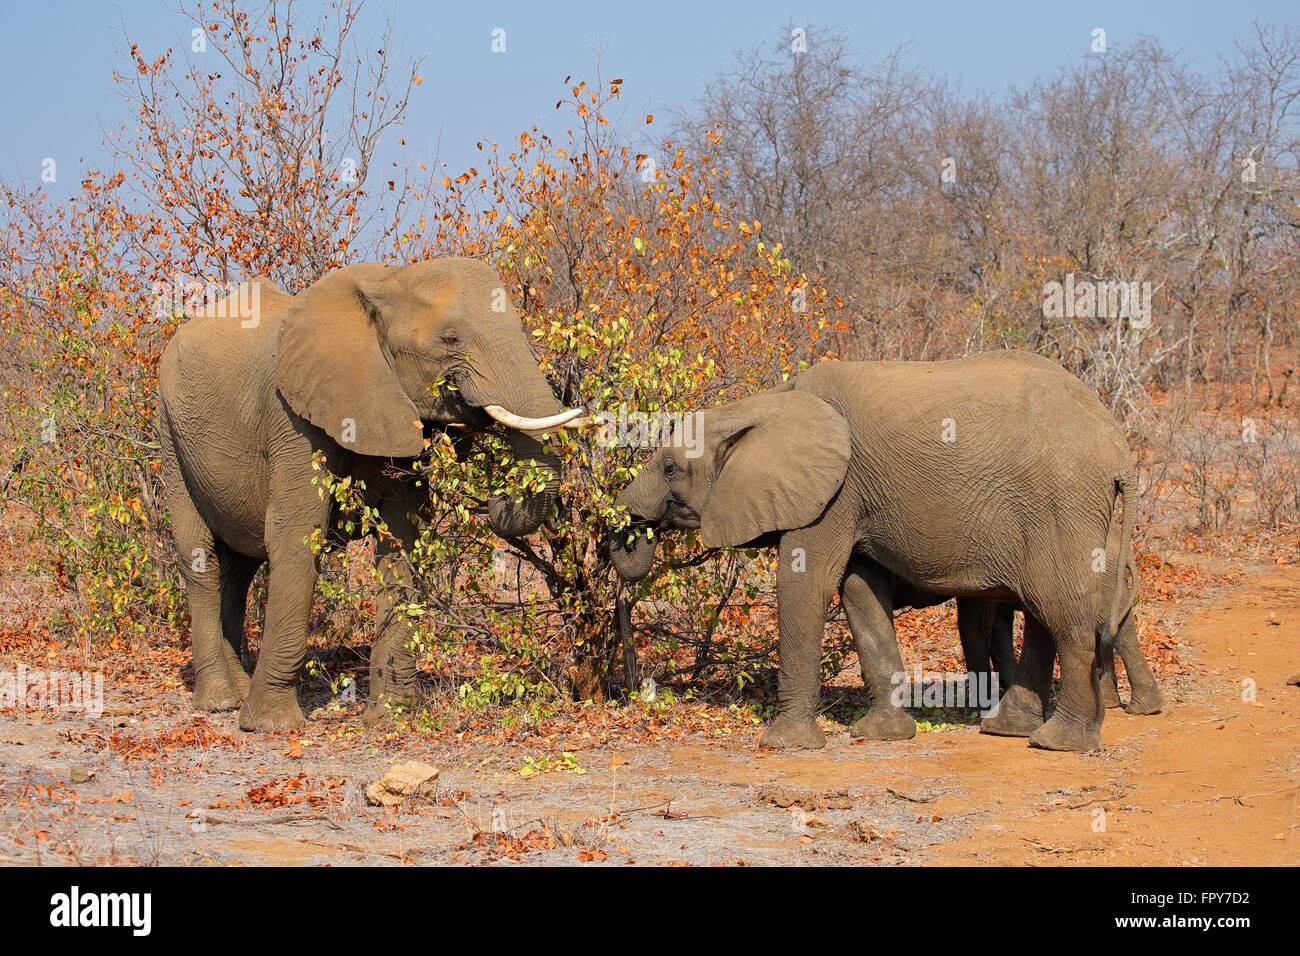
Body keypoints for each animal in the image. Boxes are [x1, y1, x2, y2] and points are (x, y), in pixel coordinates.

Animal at [161, 257, 585, 728]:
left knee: (239, 566)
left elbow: (401, 538)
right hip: (171, 433)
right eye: (450, 339)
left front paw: (391, 717)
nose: (495, 491)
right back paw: (219, 700)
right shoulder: (291, 416)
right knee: (201, 557)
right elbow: (296, 534)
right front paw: (271, 725)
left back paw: (236, 690)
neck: (386, 283)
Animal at [613, 353, 1133, 754]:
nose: (626, 533)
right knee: (1048, 611)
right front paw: (885, 735)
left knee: (1062, 609)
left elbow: (807, 583)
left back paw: (1060, 744)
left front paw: (784, 745)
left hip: (1060, 504)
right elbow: (860, 592)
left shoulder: (833, 493)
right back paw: (1012, 731)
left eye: (669, 468)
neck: (771, 399)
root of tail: (1118, 443)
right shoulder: (856, 498)